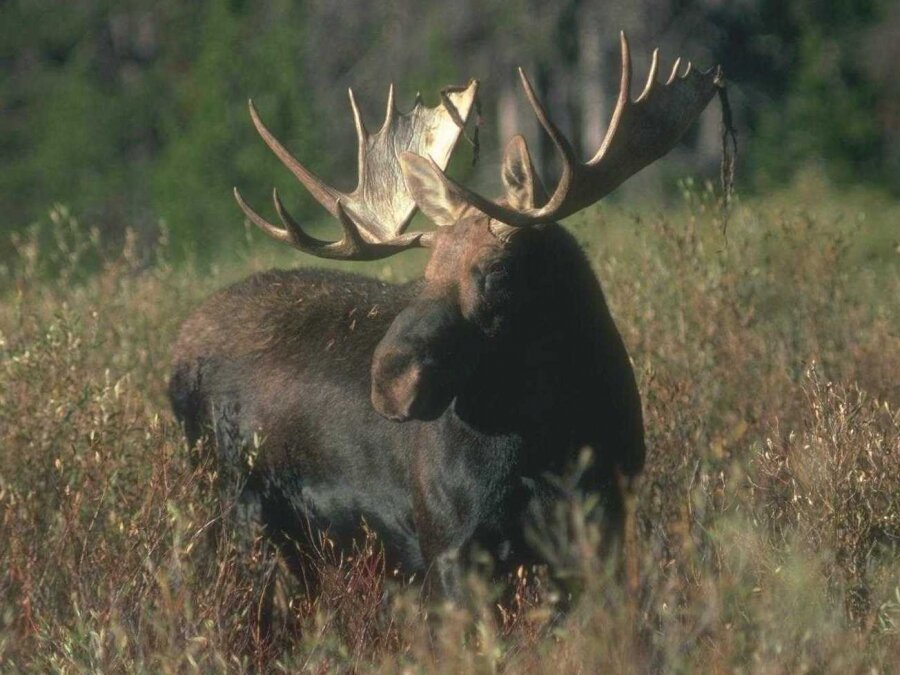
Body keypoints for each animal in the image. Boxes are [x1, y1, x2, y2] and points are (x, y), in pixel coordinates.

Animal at [169, 34, 720, 600]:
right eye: (428, 269)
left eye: (497, 269)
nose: (390, 380)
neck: (552, 439)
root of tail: (178, 348)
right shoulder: (451, 544)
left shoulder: (602, 529)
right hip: (239, 509)